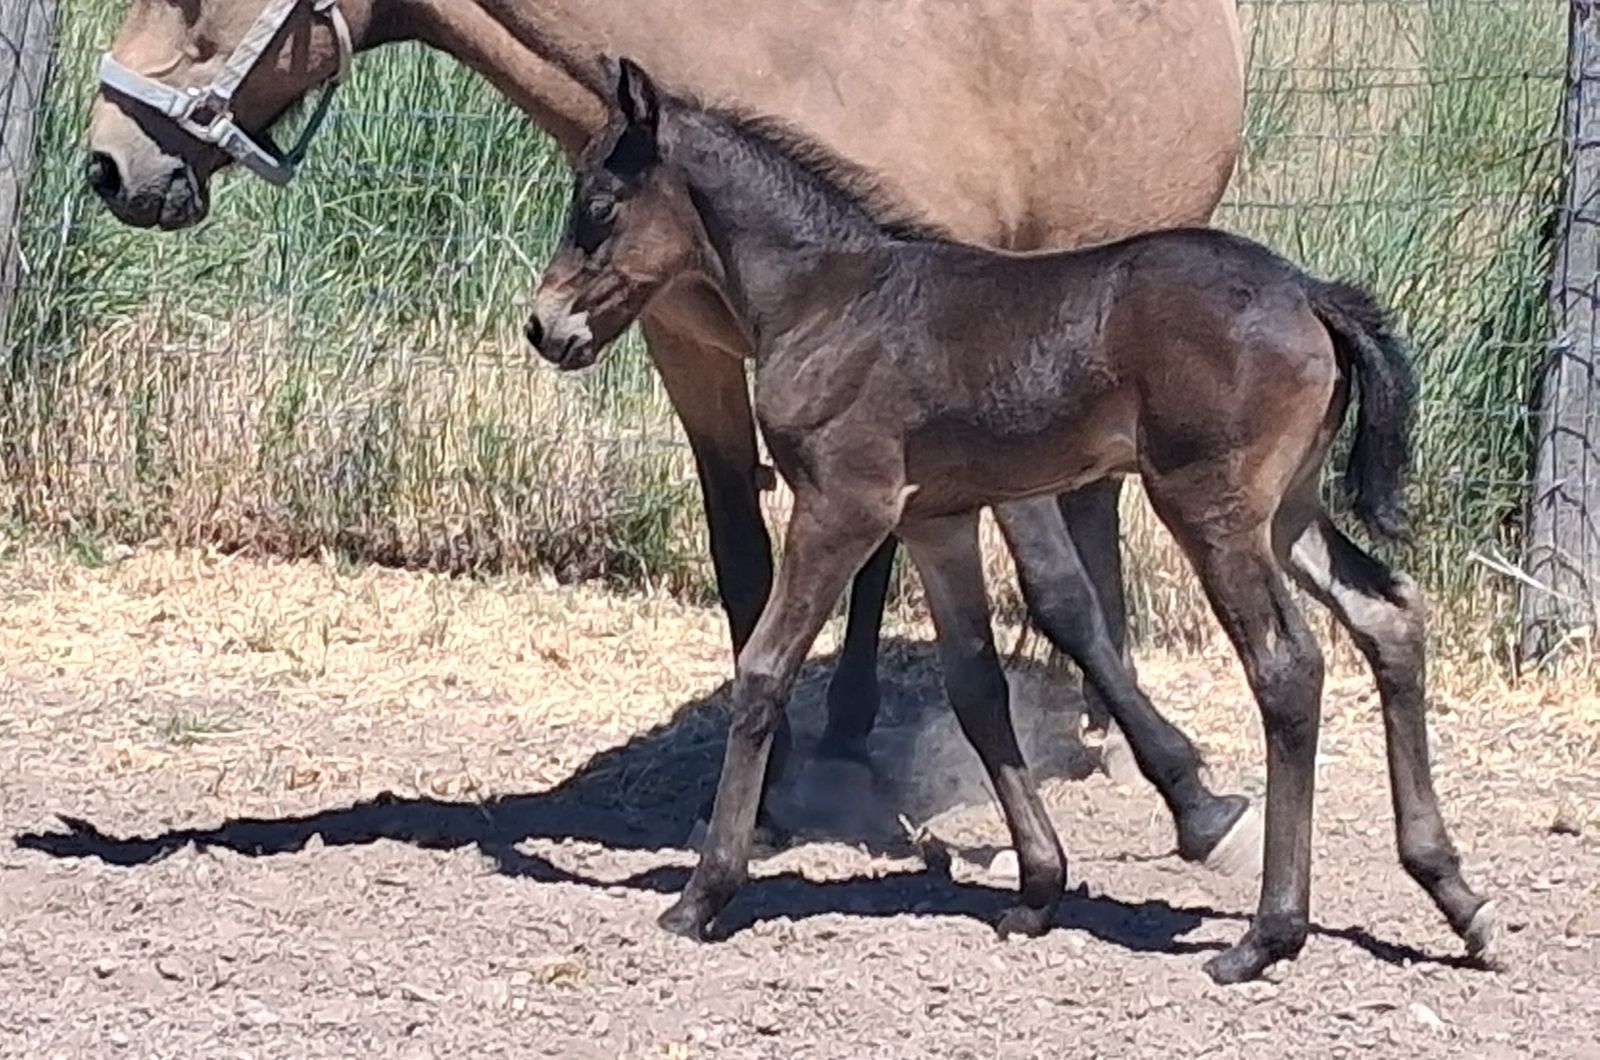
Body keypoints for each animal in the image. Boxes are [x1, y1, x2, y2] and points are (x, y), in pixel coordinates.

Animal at [82, 0, 1249, 841]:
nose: (106, 163)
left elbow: (1052, 587)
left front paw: (1190, 791)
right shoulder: (690, 350)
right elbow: (745, 565)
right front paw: (768, 797)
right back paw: (863, 735)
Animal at [522, 58, 1501, 985]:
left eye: (598, 205)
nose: (543, 326)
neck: (830, 299)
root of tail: (1309, 292)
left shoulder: (843, 505)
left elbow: (764, 670)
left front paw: (702, 894)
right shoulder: (938, 522)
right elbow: (976, 690)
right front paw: (1038, 889)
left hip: (1211, 508)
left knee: (1287, 667)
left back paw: (1267, 936)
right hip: (1287, 511)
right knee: (1387, 615)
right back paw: (1457, 897)